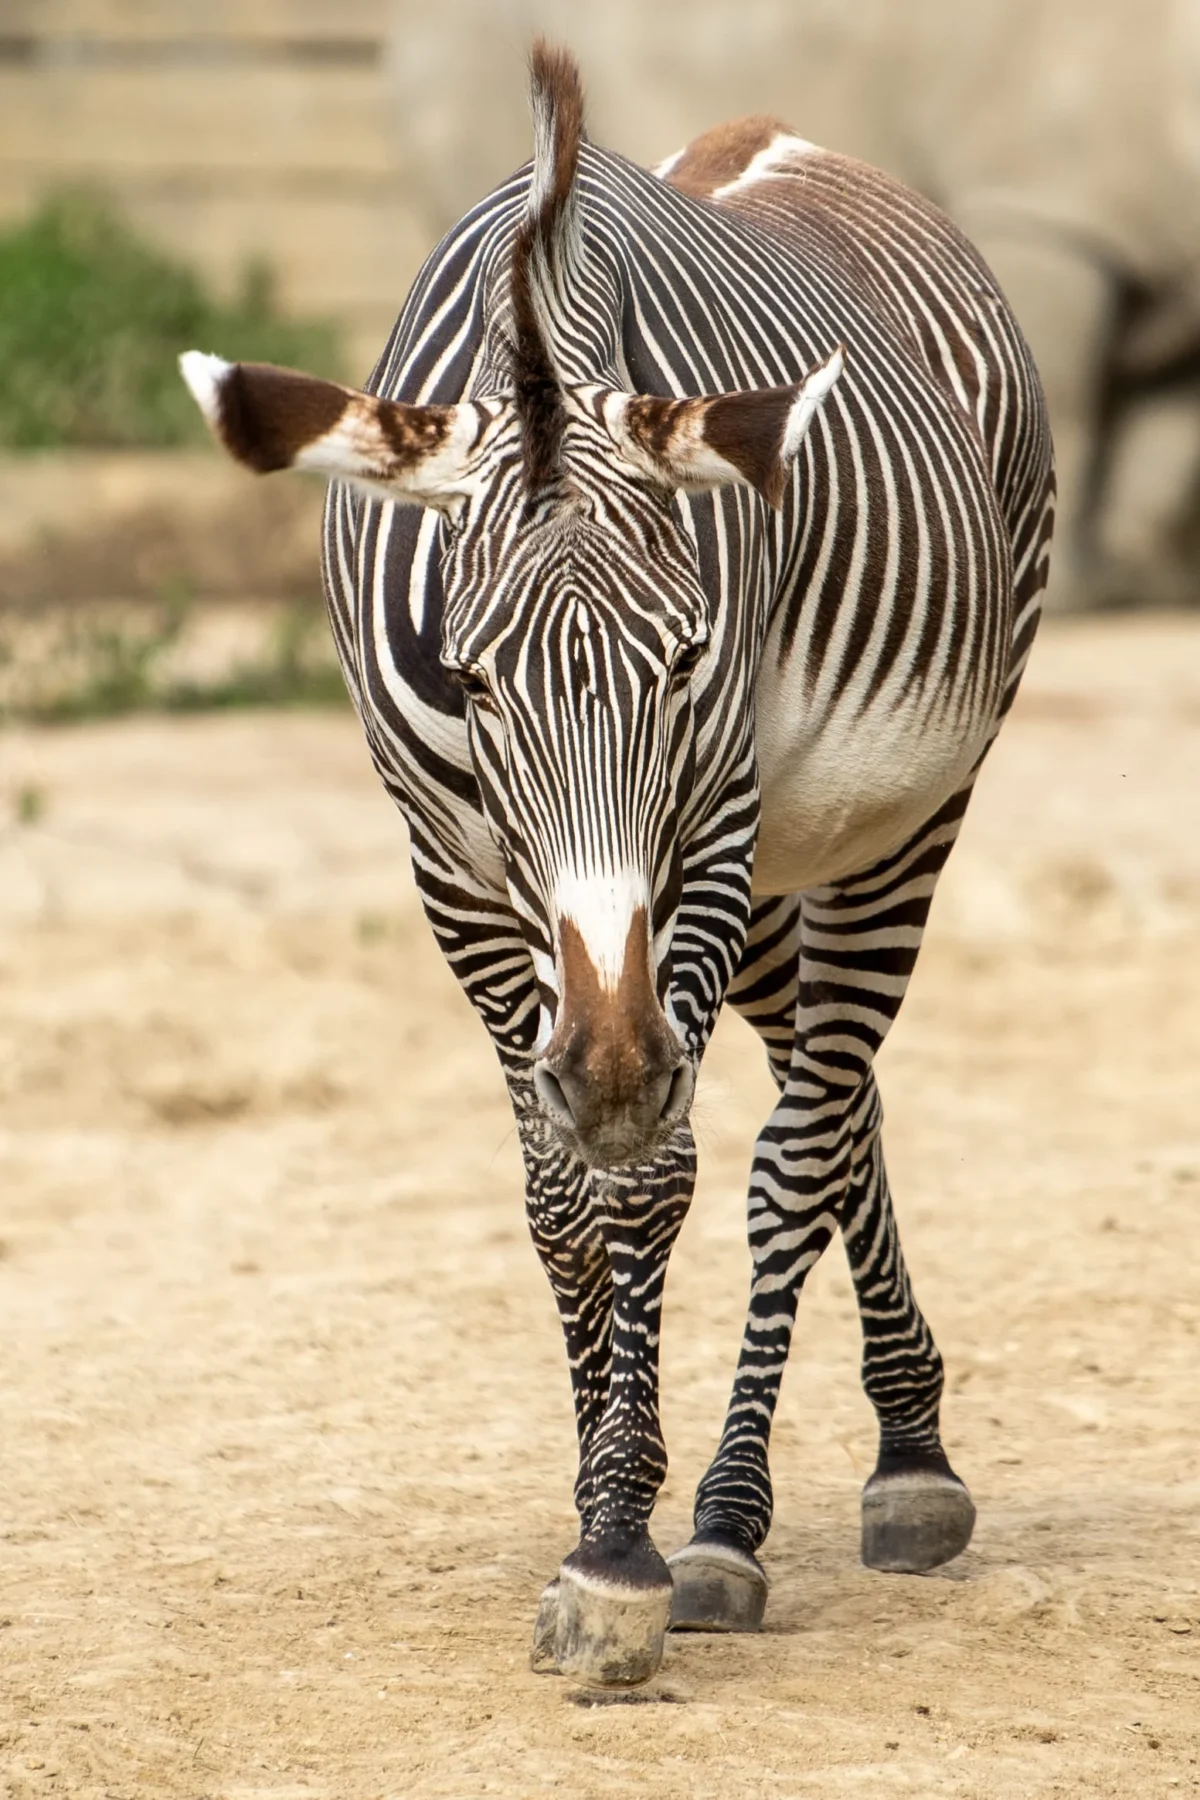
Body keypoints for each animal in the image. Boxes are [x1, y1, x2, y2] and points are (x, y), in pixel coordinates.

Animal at [180, 42, 1053, 1689]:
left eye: (689, 659)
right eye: (468, 677)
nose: (611, 1064)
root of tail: (778, 139)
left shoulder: (707, 829)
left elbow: (654, 1174)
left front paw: (625, 1552)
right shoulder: (448, 866)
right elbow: (554, 1191)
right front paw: (604, 1479)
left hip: (900, 820)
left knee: (802, 1138)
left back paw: (758, 1510)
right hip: (778, 889)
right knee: (835, 1100)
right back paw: (899, 1441)